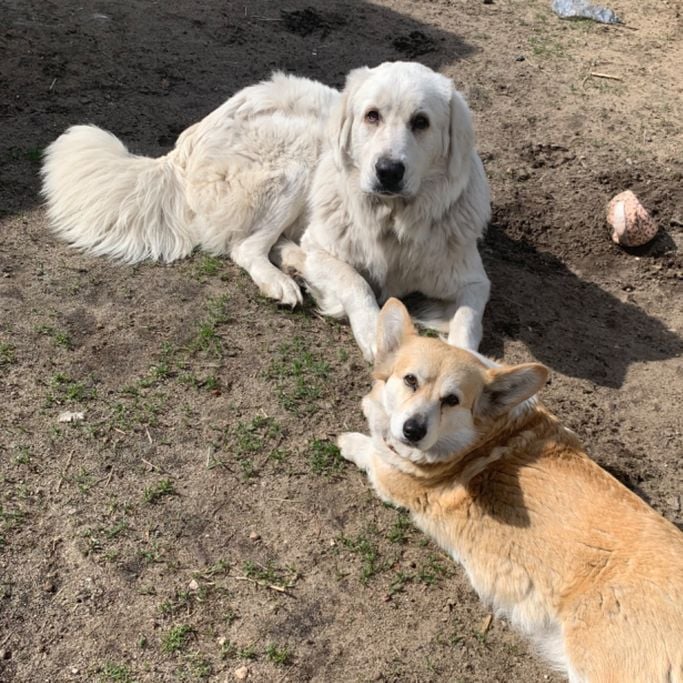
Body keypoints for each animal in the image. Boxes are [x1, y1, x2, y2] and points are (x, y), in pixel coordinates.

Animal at [41, 62, 492, 360]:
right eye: (372, 116)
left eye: (421, 122)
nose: (388, 171)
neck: (392, 220)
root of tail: (183, 147)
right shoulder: (326, 249)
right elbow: (356, 284)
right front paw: (373, 331)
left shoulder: (472, 280)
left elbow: (469, 323)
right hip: (298, 157)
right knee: (245, 247)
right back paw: (282, 280)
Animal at [340, 300, 683, 683]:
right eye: (410, 380)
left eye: (452, 400)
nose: (413, 430)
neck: (481, 434)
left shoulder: (395, 478)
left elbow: (371, 450)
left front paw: (350, 440)